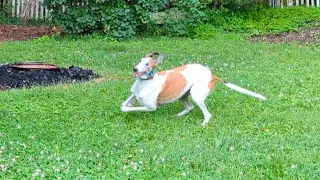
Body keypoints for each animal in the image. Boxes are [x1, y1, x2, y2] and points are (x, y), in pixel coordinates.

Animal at [121, 52, 266, 126]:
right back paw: (179, 115)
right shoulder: (134, 92)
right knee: (190, 107)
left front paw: (130, 106)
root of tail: (212, 75)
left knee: (207, 114)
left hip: (196, 95)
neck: (145, 82)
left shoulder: (151, 107)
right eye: (140, 60)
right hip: (183, 95)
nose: (135, 69)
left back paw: (203, 124)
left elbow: (125, 108)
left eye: (147, 64)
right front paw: (130, 103)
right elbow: (125, 103)